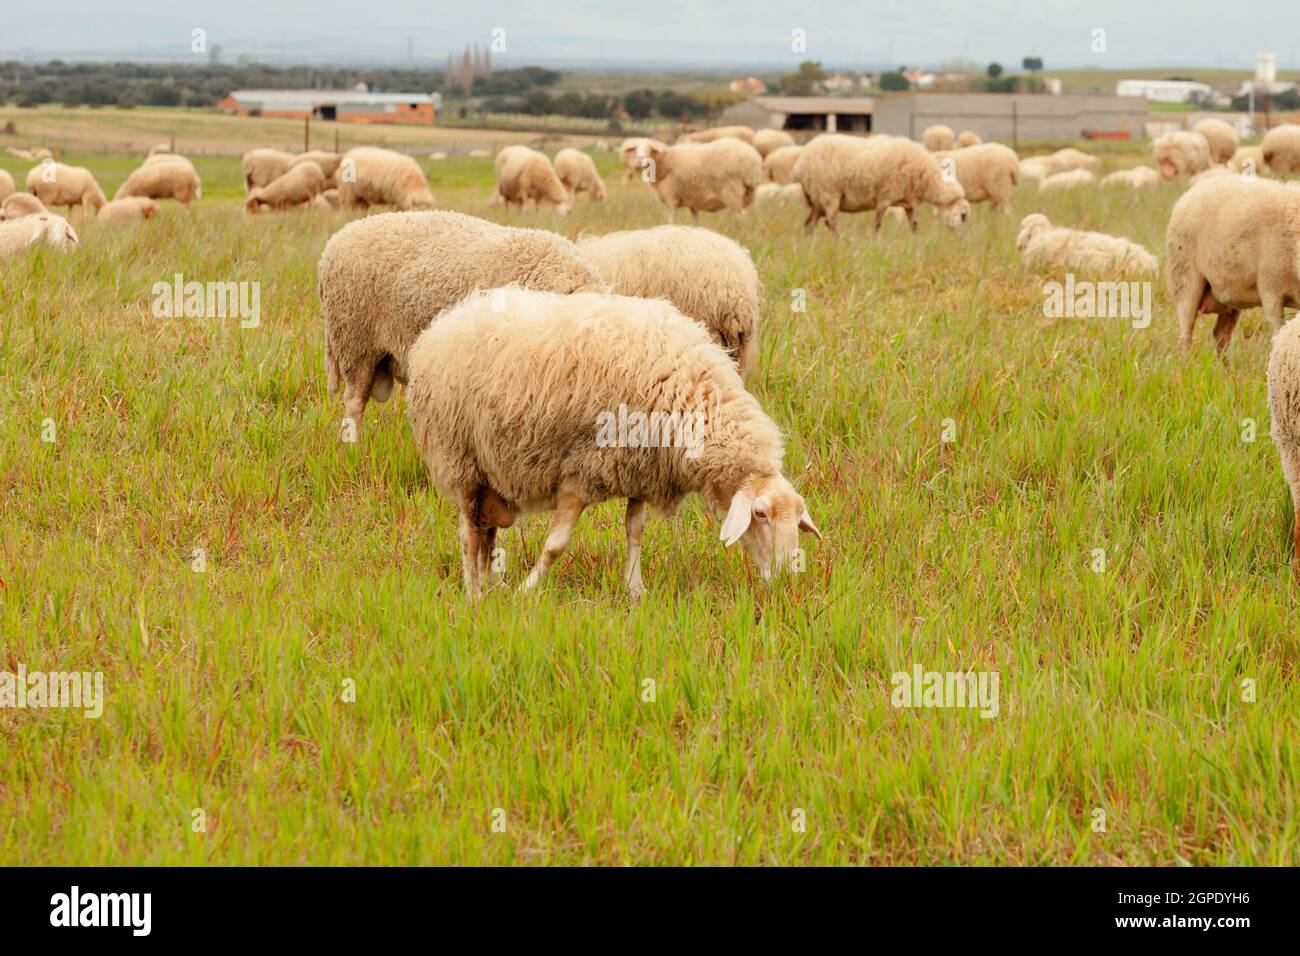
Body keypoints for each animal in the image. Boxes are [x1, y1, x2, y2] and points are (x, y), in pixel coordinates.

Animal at [404, 287, 821, 599]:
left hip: (489, 478)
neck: (691, 396)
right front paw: (528, 590)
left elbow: (634, 530)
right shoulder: (579, 474)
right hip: (461, 461)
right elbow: (556, 545)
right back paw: (474, 593)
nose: (785, 579)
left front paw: (636, 590)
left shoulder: (640, 470)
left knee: (487, 535)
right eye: (760, 514)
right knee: (469, 536)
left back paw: (492, 587)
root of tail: (447, 320)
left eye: (797, 518)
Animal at [792, 134, 970, 234]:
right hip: (829, 193)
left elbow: (914, 224)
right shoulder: (884, 197)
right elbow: (877, 224)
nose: (957, 235)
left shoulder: (908, 202)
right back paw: (841, 240)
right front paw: (874, 240)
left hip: (817, 200)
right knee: (830, 222)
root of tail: (801, 164)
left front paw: (916, 240)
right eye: (962, 215)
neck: (923, 174)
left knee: (809, 223)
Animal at [1166, 173, 1300, 355]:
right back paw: (1185, 361)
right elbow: (1278, 332)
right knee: (1185, 334)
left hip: (1228, 294)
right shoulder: (1271, 291)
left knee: (1220, 336)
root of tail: (1192, 192)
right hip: (1184, 279)